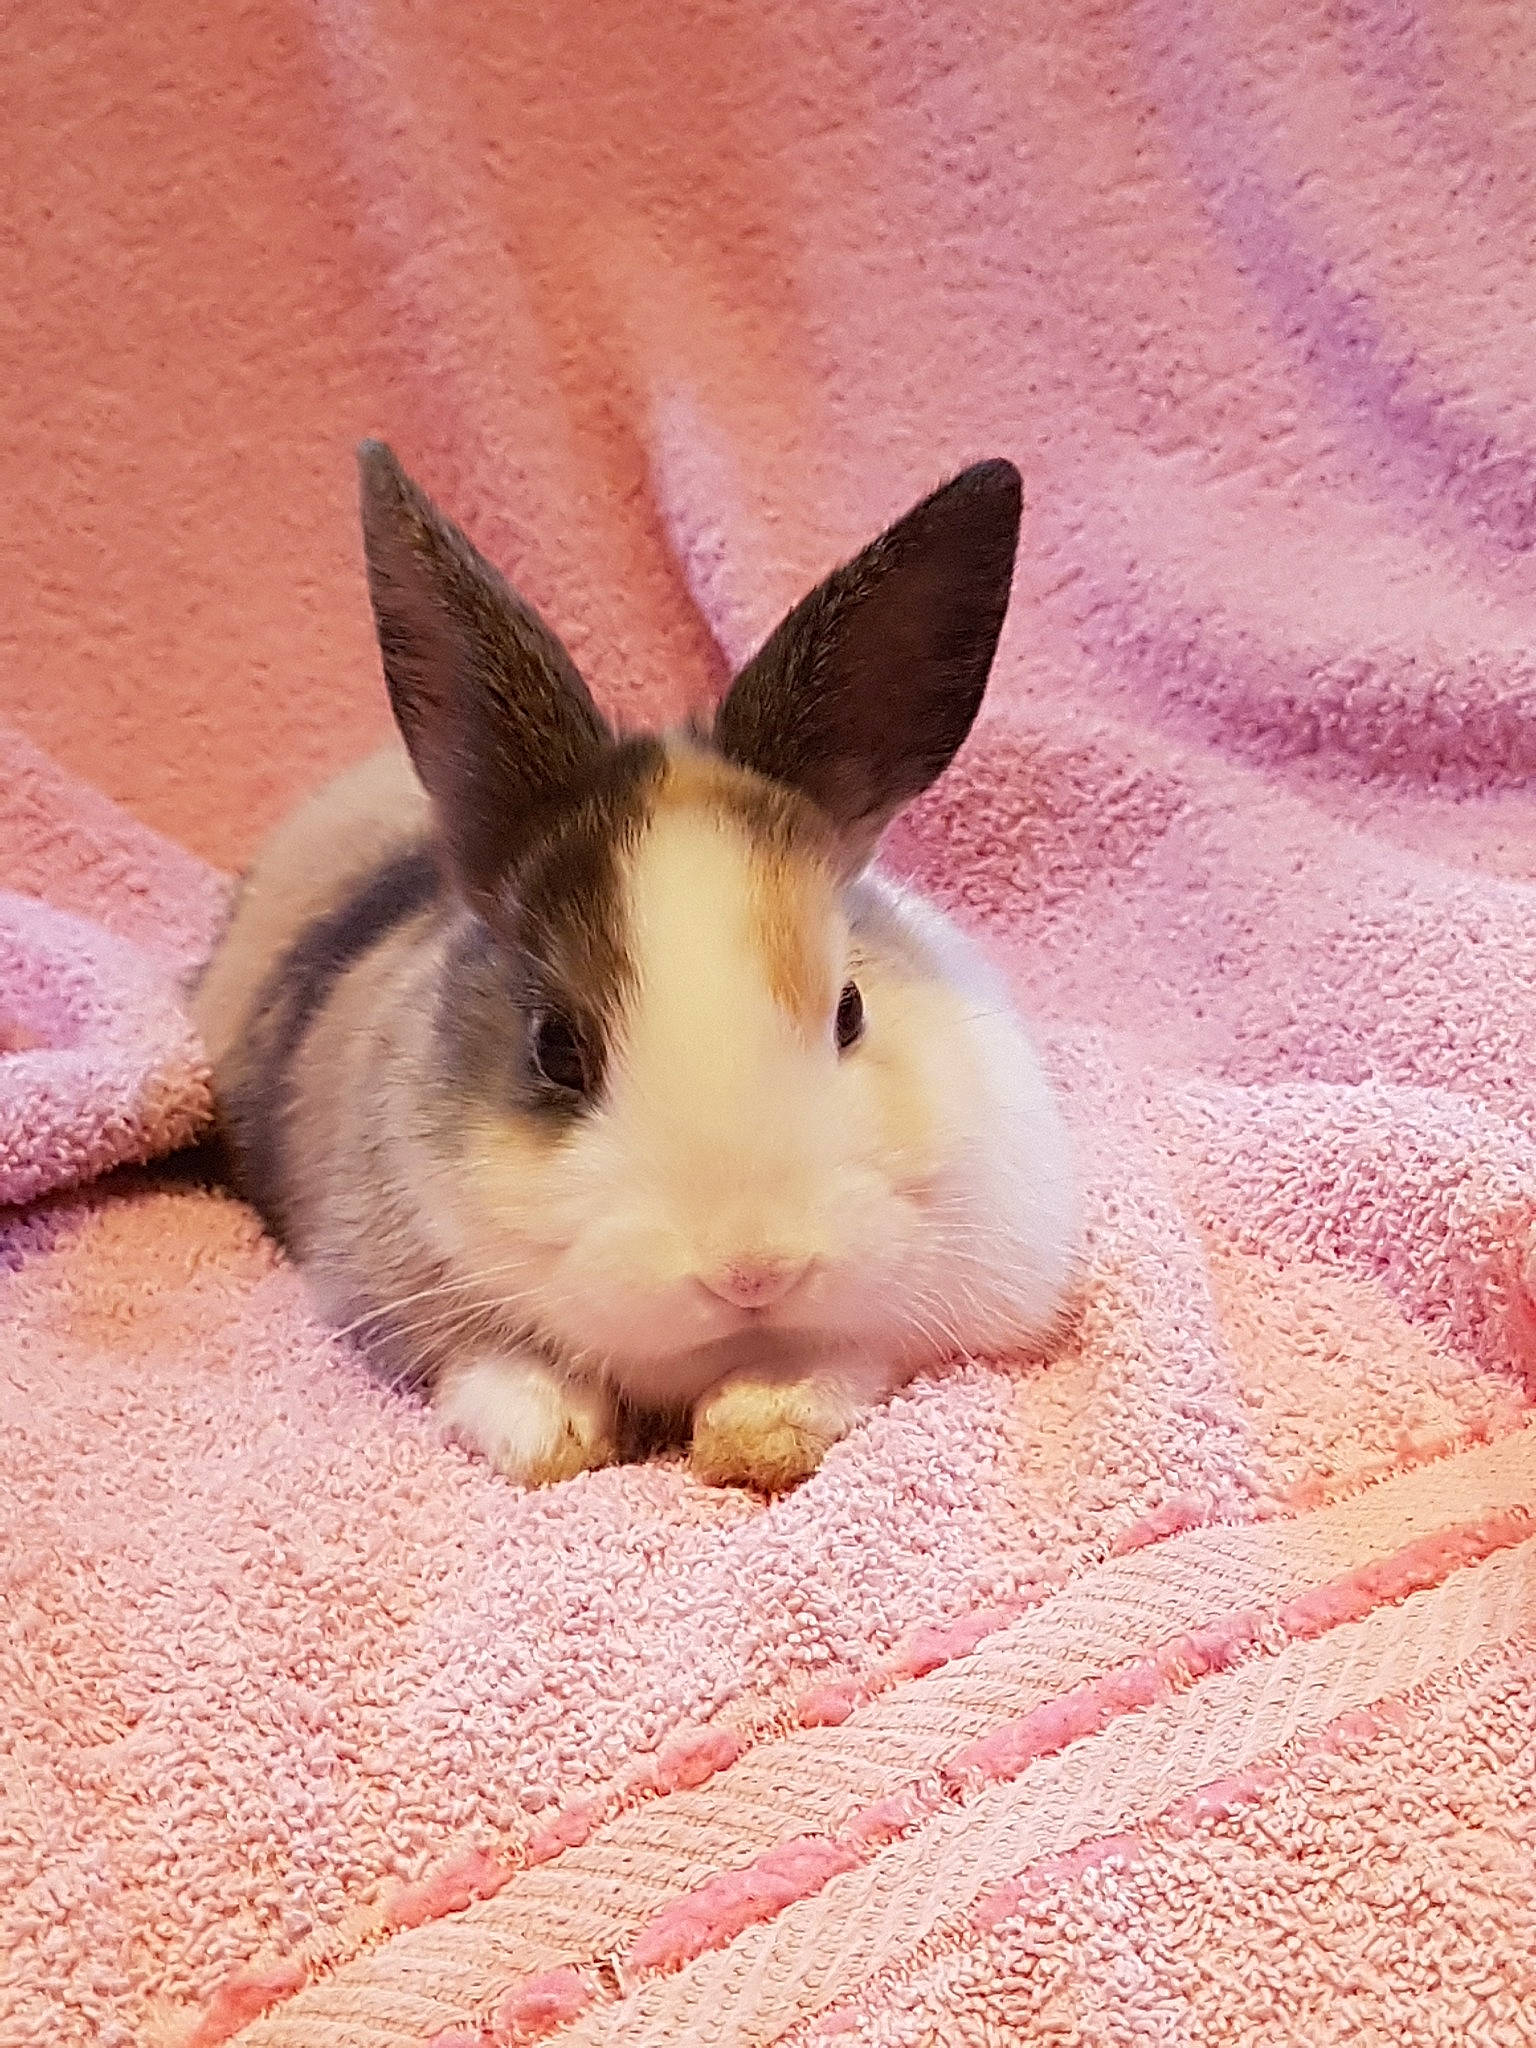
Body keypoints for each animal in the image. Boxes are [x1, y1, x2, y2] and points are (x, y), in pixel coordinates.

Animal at [191, 442, 1079, 1492]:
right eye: (555, 1048)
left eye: (851, 1009)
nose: (752, 1272)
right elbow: (489, 1363)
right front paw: (554, 1433)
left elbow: (851, 1357)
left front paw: (756, 1425)